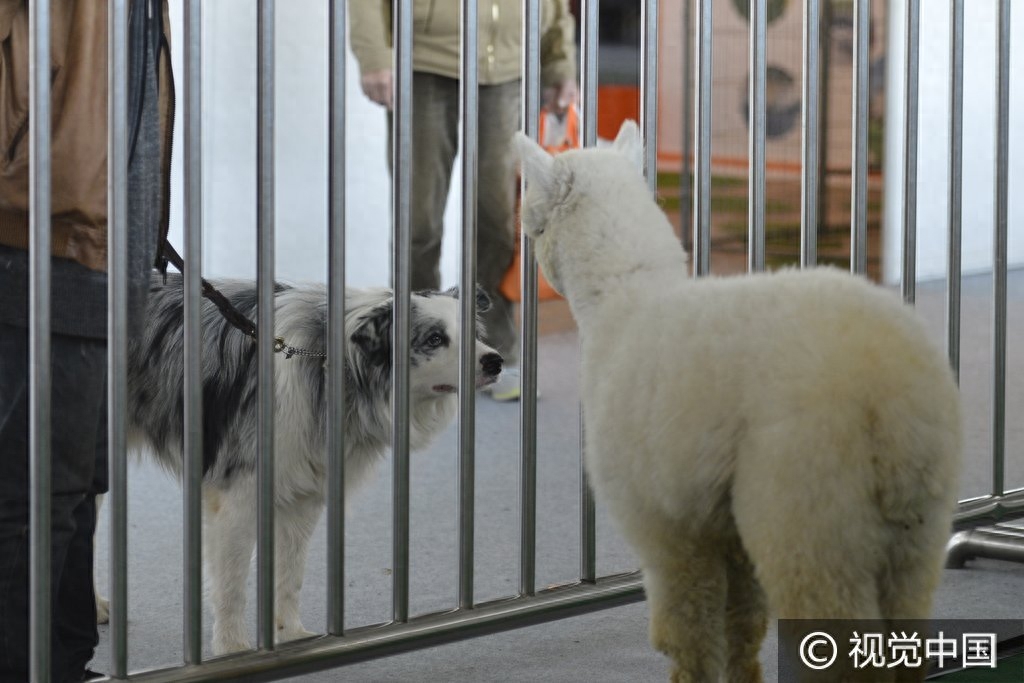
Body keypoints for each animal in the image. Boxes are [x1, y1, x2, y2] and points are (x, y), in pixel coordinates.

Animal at [125, 274, 501, 655]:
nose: (495, 362)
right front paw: (233, 649)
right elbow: (231, 586)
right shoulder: (237, 499)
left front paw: (292, 636)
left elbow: (290, 575)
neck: (337, 368)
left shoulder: (302, 497)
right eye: (434, 339)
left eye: (474, 333)